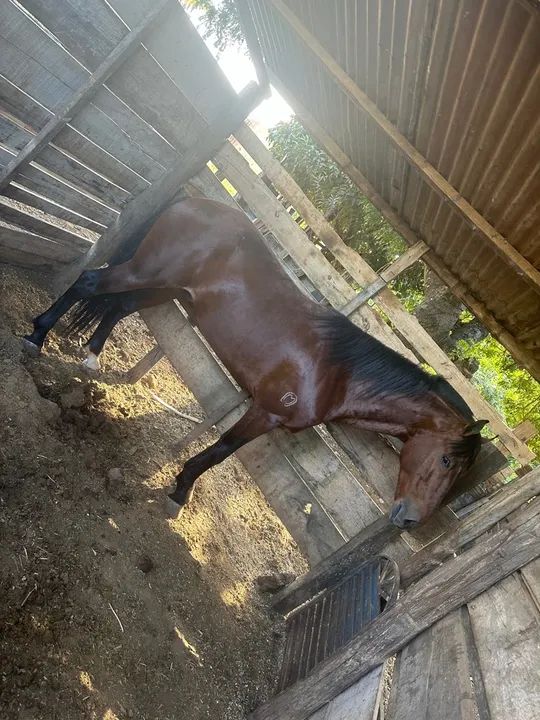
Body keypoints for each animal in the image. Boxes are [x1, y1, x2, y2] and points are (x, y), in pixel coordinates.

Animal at [23, 196, 487, 528]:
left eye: (462, 473)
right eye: (448, 461)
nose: (410, 519)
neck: (338, 372)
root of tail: (194, 202)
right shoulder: (265, 412)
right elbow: (220, 451)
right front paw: (179, 493)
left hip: (164, 287)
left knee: (119, 306)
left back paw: (91, 358)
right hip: (147, 272)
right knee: (90, 283)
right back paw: (36, 337)